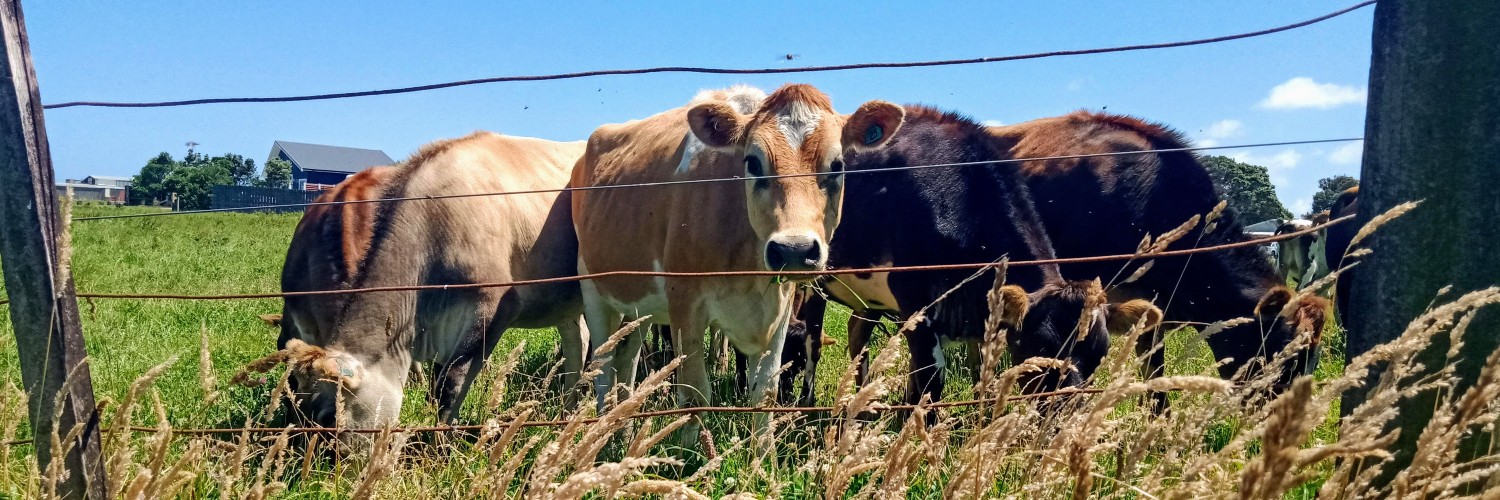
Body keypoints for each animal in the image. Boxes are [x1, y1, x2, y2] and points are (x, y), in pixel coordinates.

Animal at [274, 132, 585, 429]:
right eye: (296, 402)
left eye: (329, 417)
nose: (303, 450)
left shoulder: (493, 312)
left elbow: (449, 387)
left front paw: (440, 443)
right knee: (577, 344)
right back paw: (567, 413)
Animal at [570, 82, 900, 420]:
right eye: (752, 162)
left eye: (837, 165)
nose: (794, 250)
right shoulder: (685, 305)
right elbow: (694, 397)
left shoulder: (779, 313)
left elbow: (764, 393)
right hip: (594, 291)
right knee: (603, 370)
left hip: (641, 306)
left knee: (627, 362)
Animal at [810, 104, 1158, 405]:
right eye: (1041, 347)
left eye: (1099, 354)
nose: (1065, 413)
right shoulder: (916, 306)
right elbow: (929, 385)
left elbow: (977, 374)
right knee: (810, 340)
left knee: (857, 335)